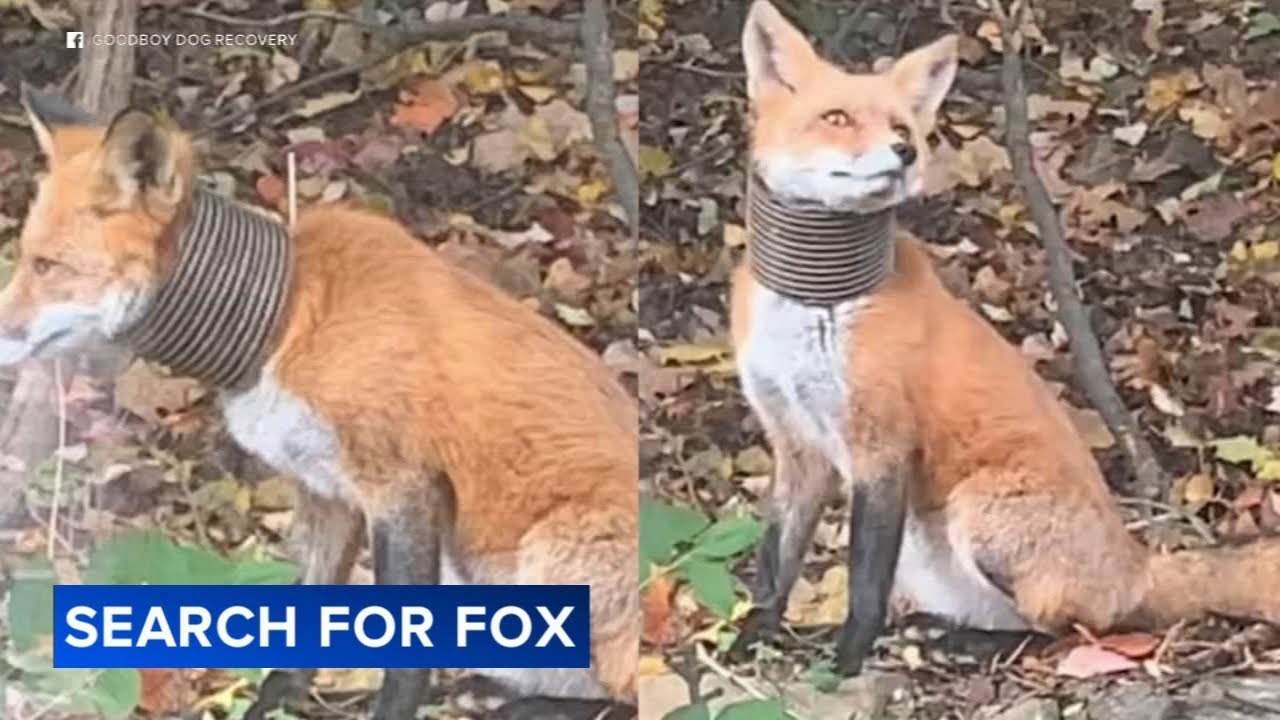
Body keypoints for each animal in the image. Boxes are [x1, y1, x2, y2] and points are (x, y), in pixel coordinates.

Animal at [2, 85, 638, 720]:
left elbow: (405, 662)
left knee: (628, 692)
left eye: (47, 265)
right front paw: (272, 703)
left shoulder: (400, 488)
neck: (283, 323)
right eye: (26, 256)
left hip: (555, 556)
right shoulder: (328, 493)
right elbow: (303, 628)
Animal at [727, 0, 1280, 676]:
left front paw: (846, 662)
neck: (816, 300)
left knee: (1070, 630)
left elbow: (863, 584)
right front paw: (752, 639)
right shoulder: (797, 445)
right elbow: (775, 562)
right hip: (926, 553)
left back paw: (969, 646)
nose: (903, 152)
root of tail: (1137, 564)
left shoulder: (881, 447)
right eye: (837, 118)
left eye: (902, 126)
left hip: (979, 512)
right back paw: (933, 632)